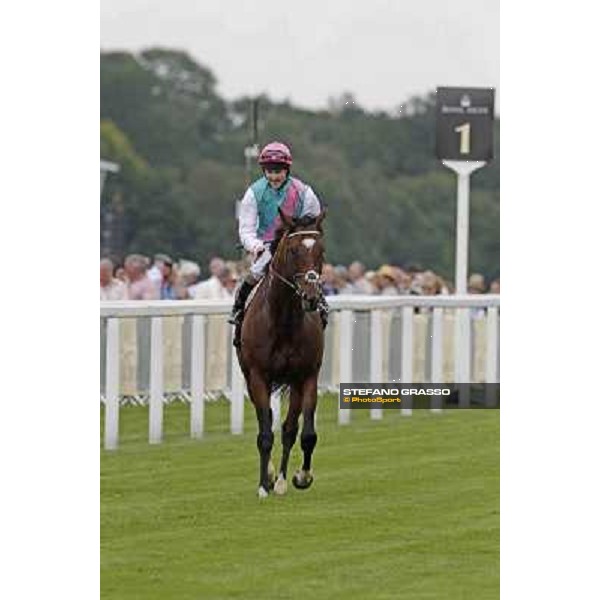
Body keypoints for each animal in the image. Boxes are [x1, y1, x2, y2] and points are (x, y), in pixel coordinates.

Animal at [236, 209, 328, 500]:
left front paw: (300, 476)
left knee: (289, 429)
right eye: (293, 250)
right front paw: (263, 485)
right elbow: (265, 433)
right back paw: (269, 476)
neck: (284, 320)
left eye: (321, 250)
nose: (310, 296)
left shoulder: (306, 376)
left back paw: (281, 479)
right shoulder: (258, 376)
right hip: (250, 378)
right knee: (264, 422)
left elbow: (305, 433)